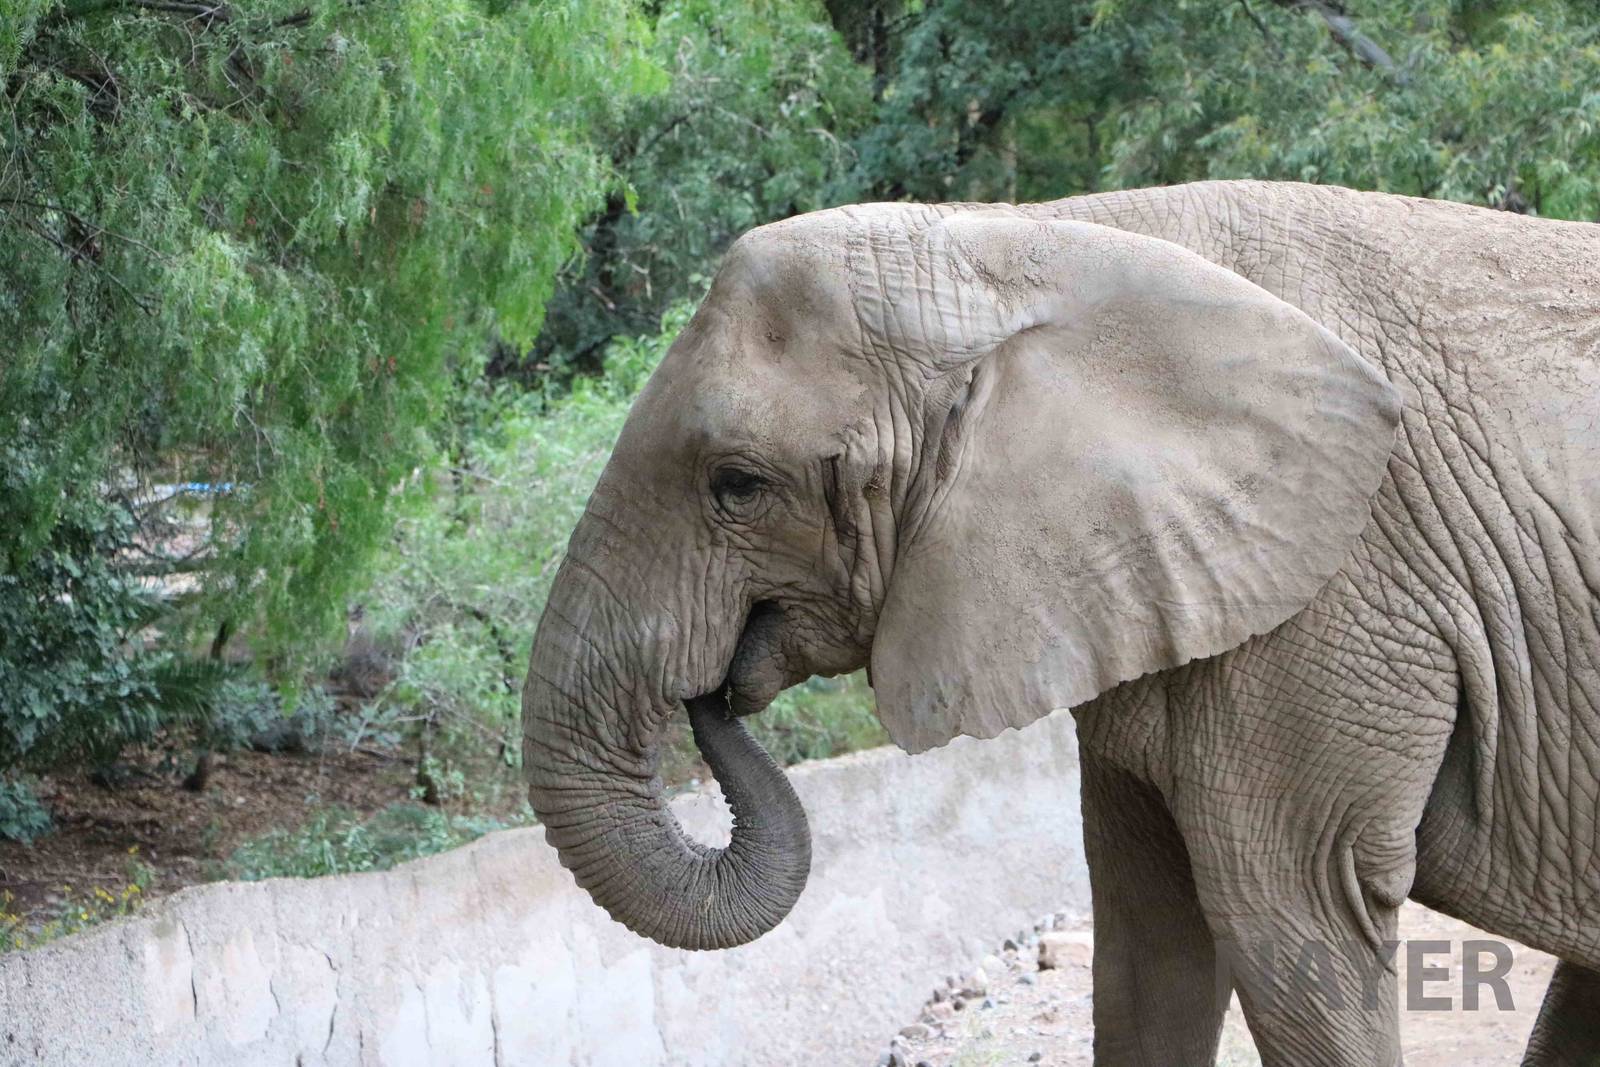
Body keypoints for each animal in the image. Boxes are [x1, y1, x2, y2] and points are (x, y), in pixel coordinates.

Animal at [520, 180, 1600, 1066]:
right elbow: (1147, 939)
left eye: (737, 485)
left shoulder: (1334, 590)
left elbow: (1292, 920)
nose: (715, 690)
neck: (1021, 241)